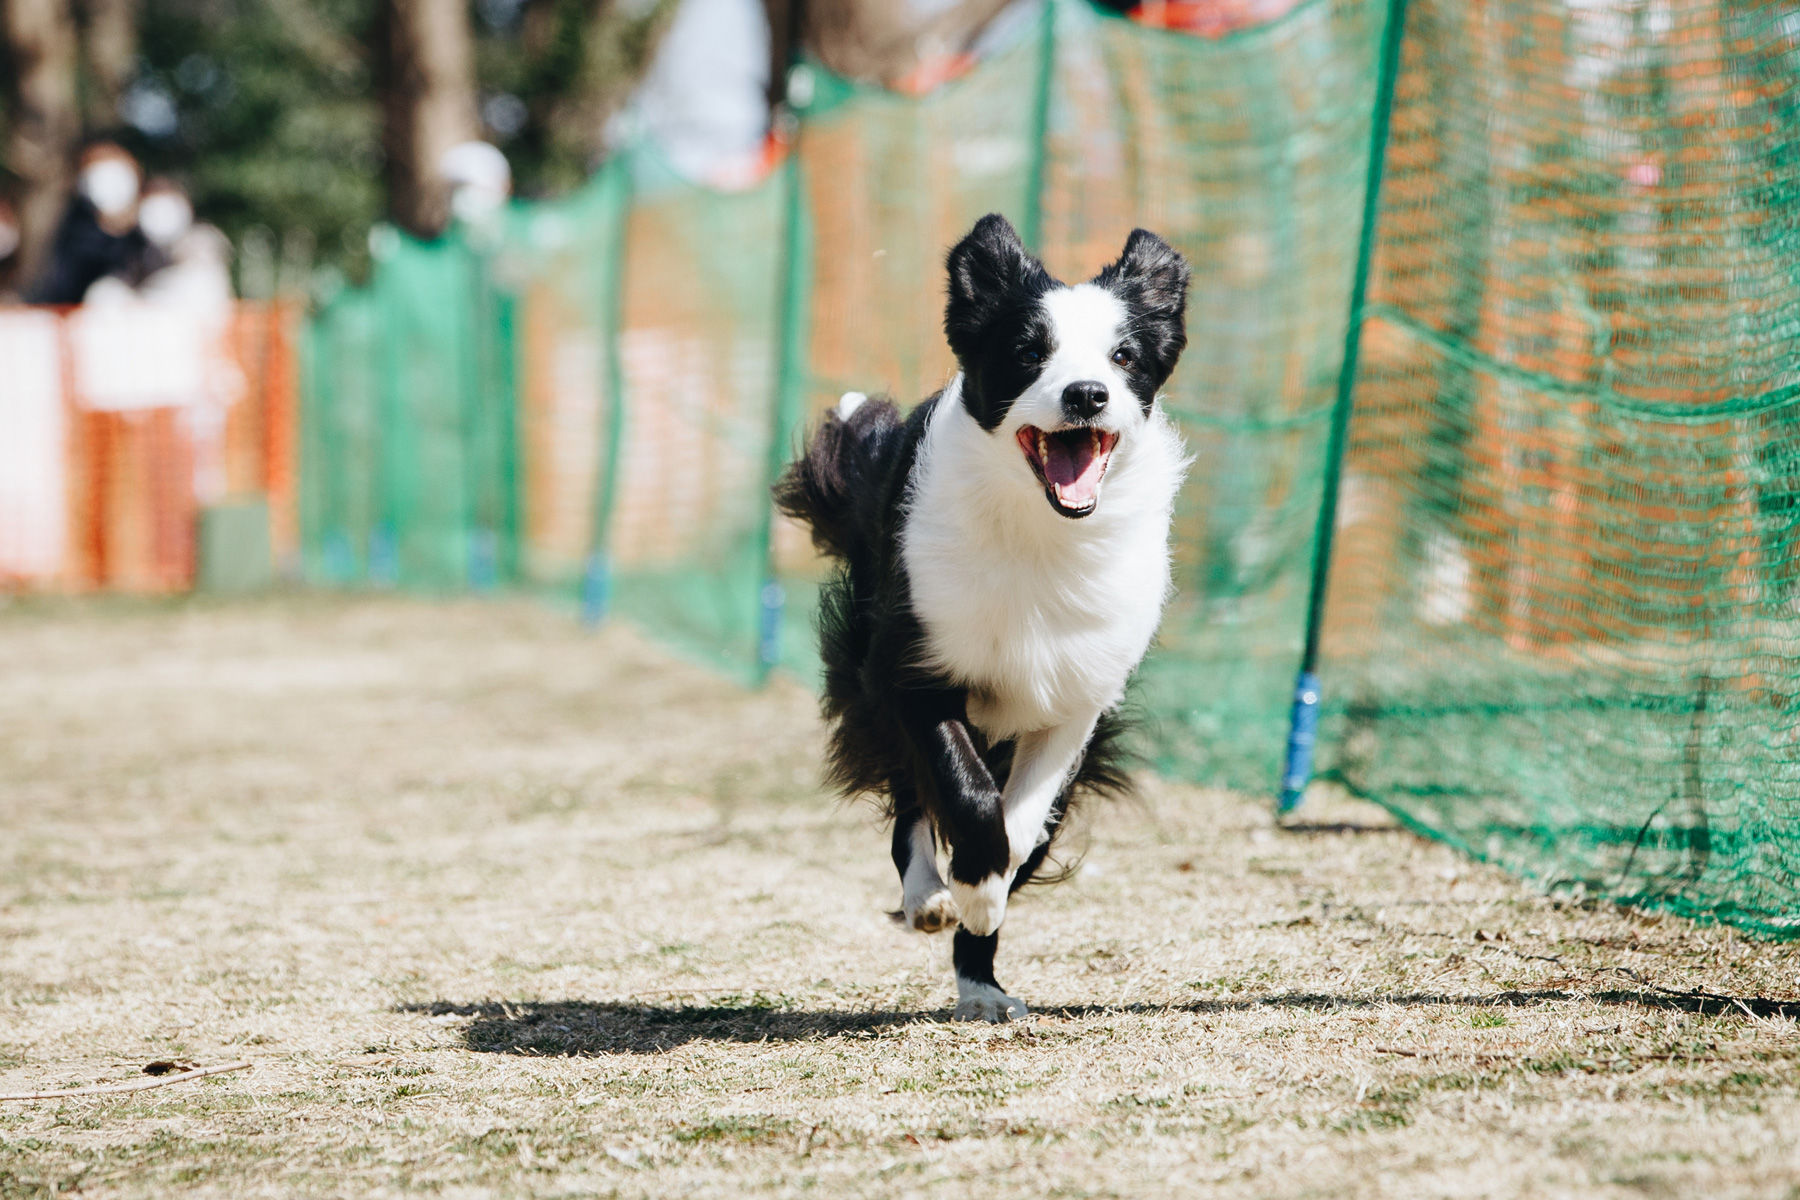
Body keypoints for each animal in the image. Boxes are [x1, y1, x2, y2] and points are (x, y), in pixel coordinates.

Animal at [777, 211, 1188, 1021]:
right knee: (911, 802)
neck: (1037, 532)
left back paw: (981, 980)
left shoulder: (1079, 697)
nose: (1087, 394)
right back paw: (930, 900)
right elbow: (963, 791)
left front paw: (986, 898)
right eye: (1029, 352)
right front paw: (964, 886)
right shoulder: (912, 666)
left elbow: (1023, 823)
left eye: (1124, 356)